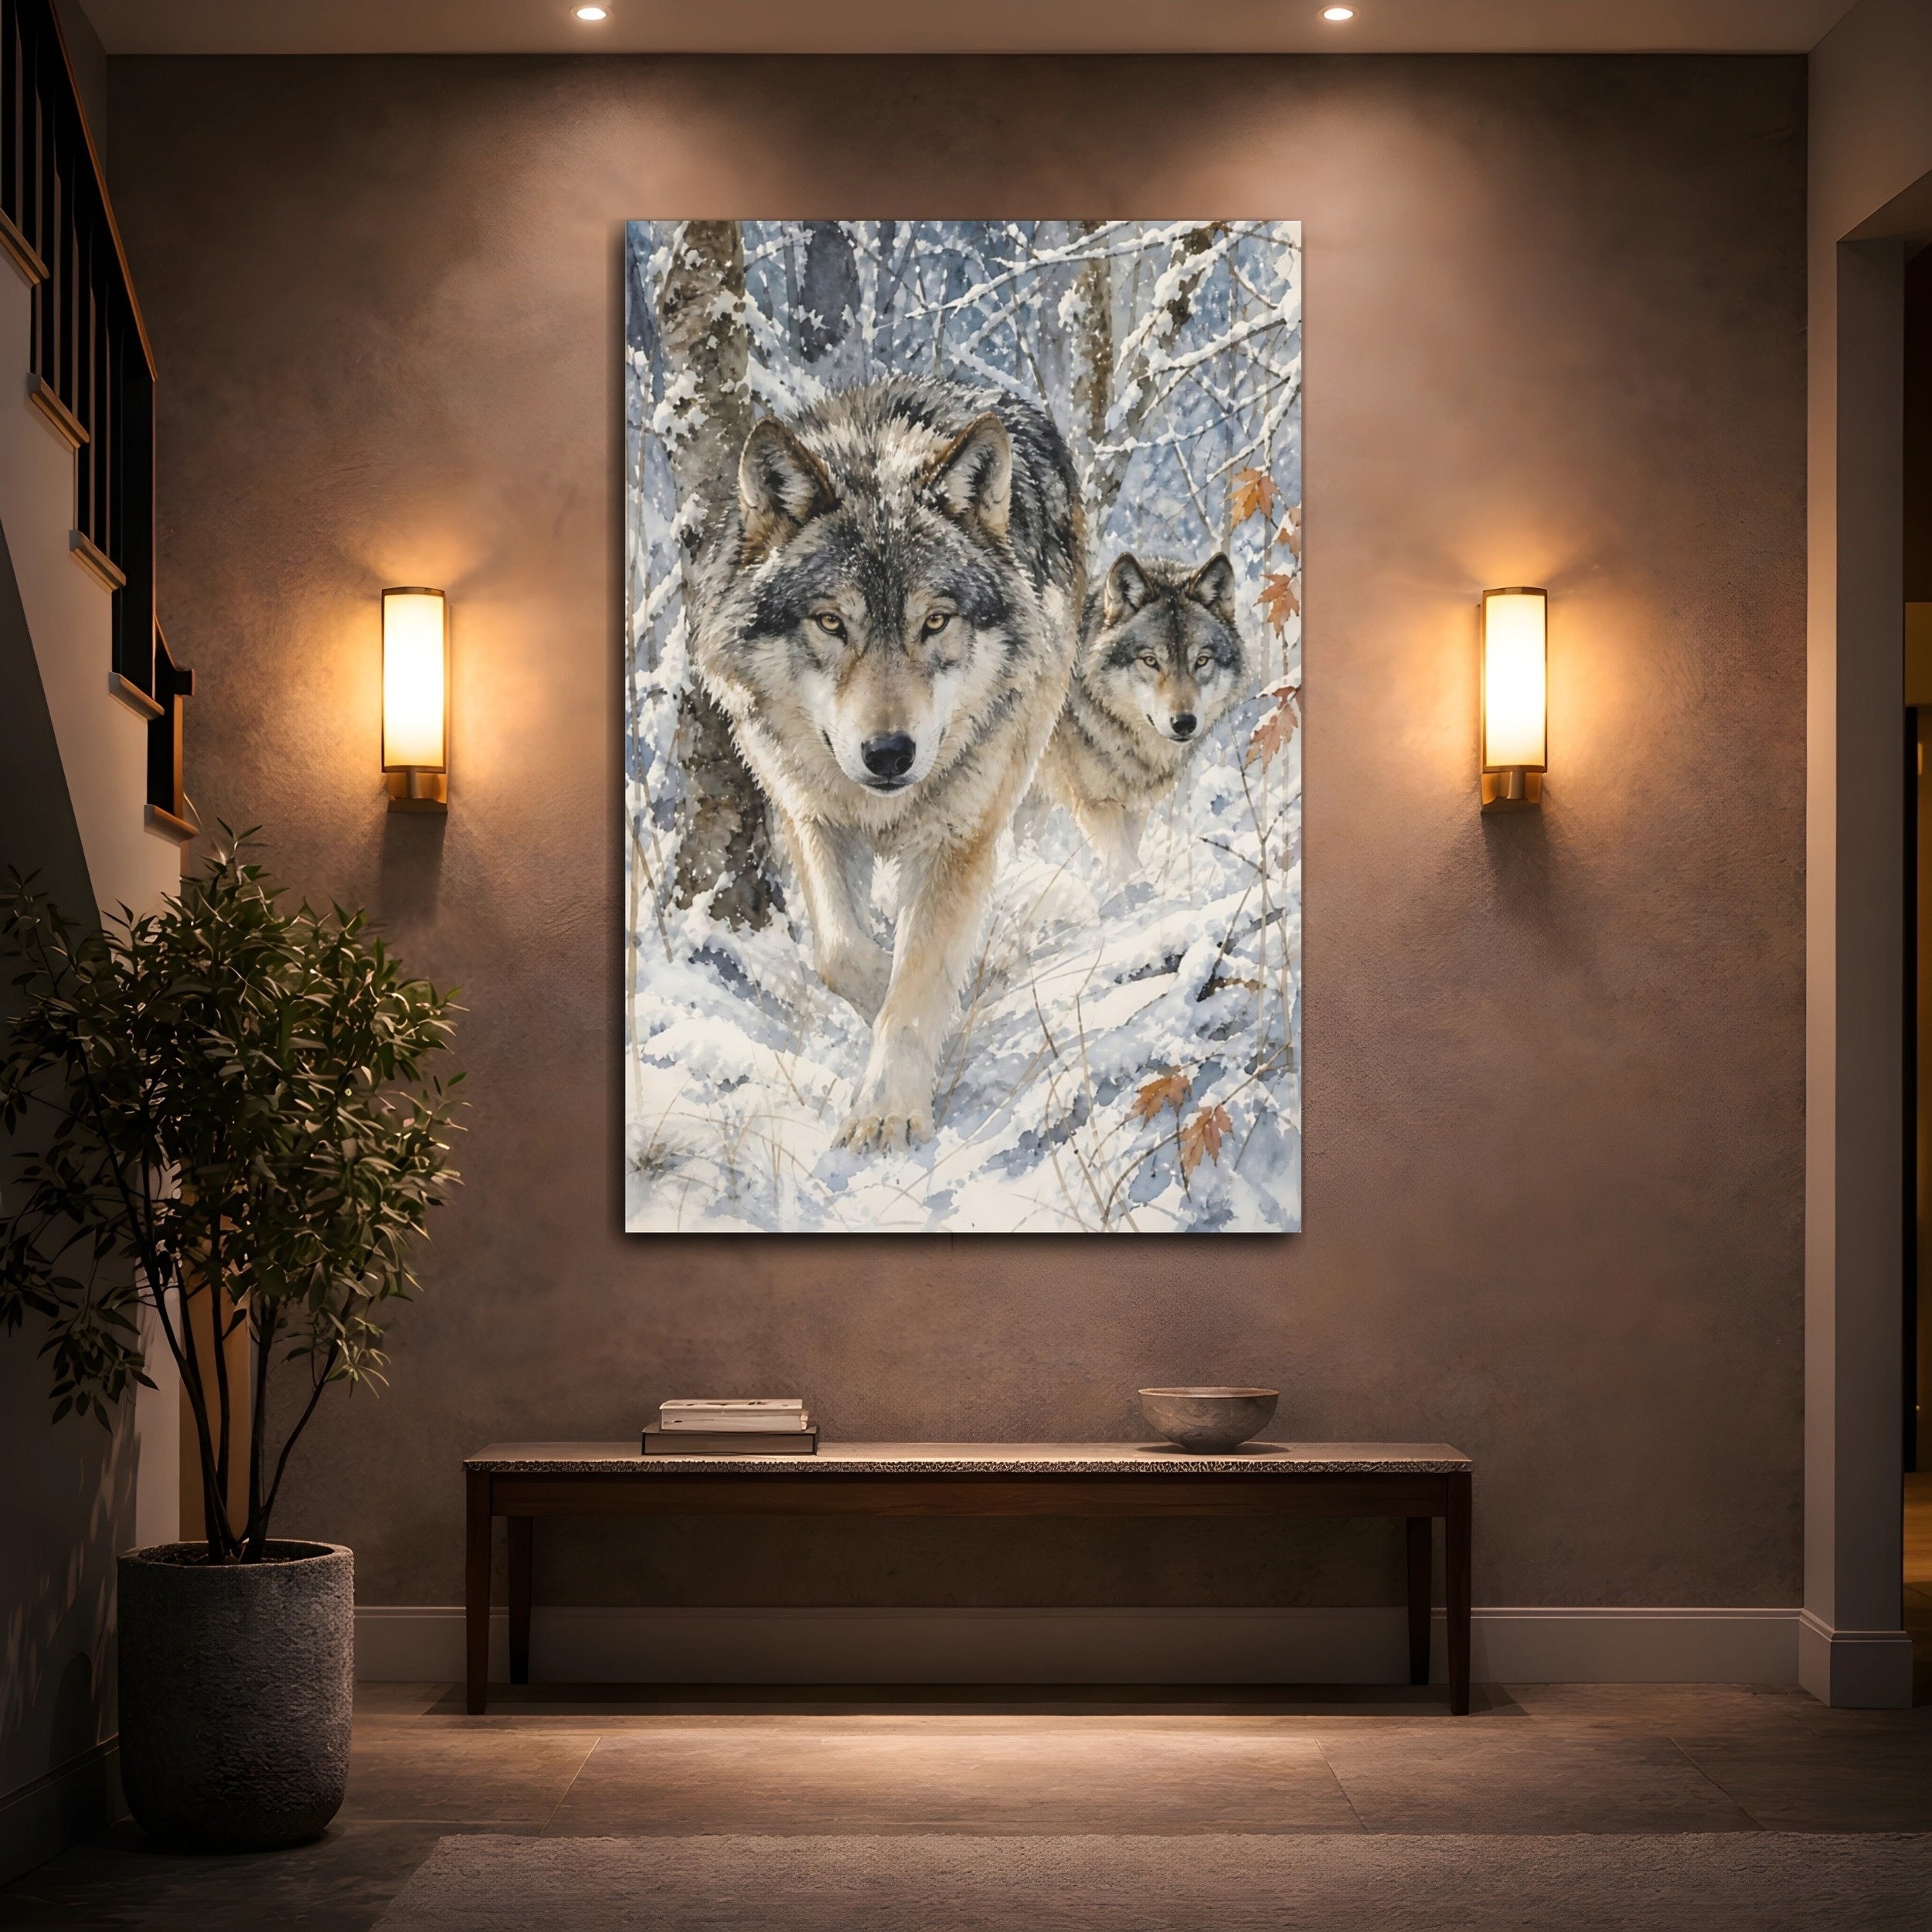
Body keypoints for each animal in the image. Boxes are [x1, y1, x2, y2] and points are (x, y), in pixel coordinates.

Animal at [687, 376, 1084, 1152]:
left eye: (934, 622)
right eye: (830, 622)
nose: (890, 753)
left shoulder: (957, 838)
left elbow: (917, 981)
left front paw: (888, 1111)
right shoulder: (809, 815)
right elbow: (844, 957)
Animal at [1036, 552, 1251, 885]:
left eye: (1201, 661)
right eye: (1150, 661)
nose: (1184, 723)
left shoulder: (1136, 808)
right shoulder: (1097, 806)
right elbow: (1126, 866)